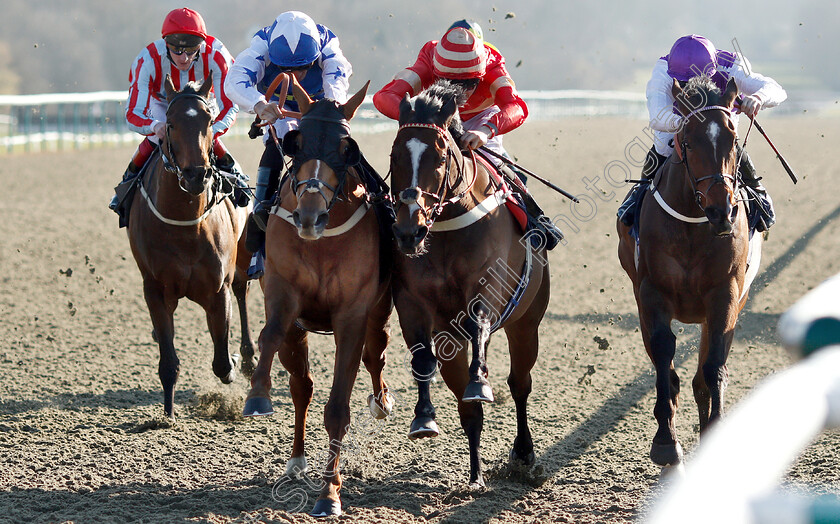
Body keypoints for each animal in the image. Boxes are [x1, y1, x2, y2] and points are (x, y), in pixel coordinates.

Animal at [126, 74, 254, 418]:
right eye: (170, 123)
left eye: (209, 121)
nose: (196, 175)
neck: (185, 225)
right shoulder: (155, 290)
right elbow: (168, 362)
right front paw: (168, 416)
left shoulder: (217, 288)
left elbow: (222, 363)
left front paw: (235, 361)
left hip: (246, 254)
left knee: (244, 291)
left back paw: (249, 357)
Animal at [241, 75, 396, 516]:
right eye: (297, 142)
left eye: (346, 147)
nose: (310, 216)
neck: (321, 243)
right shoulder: (283, 294)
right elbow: (269, 335)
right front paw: (257, 394)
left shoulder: (352, 315)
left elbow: (338, 408)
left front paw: (330, 493)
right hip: (299, 329)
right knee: (302, 386)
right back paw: (295, 460)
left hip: (379, 313)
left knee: (375, 353)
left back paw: (381, 401)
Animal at [388, 81, 552, 488]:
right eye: (395, 155)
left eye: (440, 155)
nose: (409, 231)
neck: (446, 227)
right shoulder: (412, 303)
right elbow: (422, 359)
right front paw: (423, 419)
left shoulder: (488, 287)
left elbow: (479, 325)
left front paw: (480, 382)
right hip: (454, 339)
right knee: (468, 408)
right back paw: (476, 473)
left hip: (527, 322)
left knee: (519, 383)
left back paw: (522, 453)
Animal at [616, 77, 760, 466]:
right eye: (689, 140)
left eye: (733, 140)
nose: (722, 211)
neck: (695, 224)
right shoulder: (652, 292)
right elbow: (664, 351)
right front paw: (666, 440)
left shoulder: (725, 292)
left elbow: (714, 364)